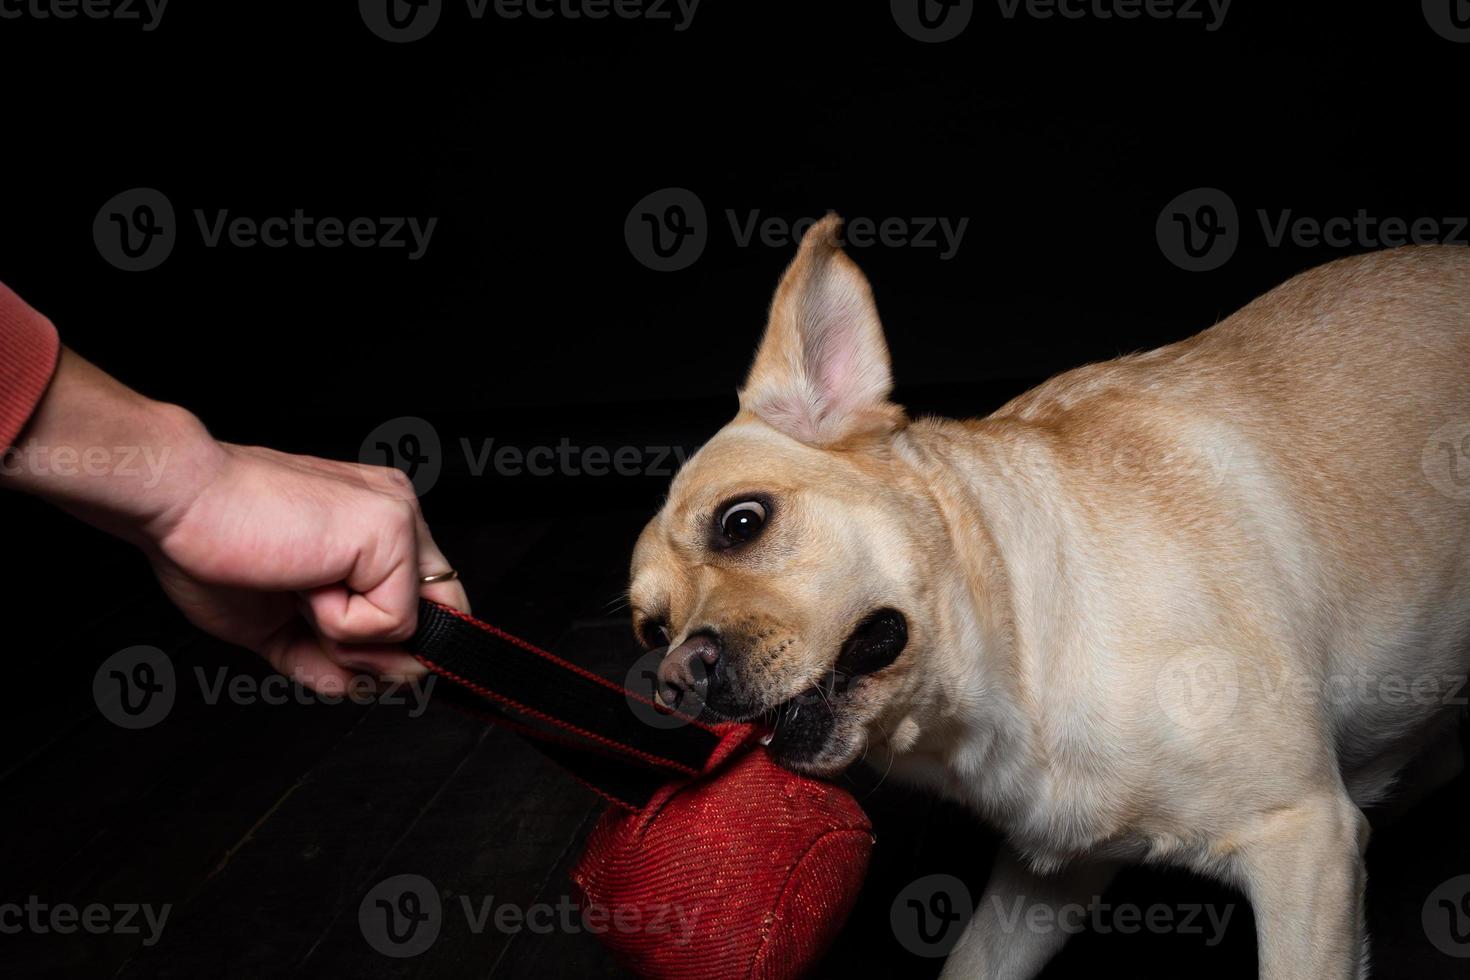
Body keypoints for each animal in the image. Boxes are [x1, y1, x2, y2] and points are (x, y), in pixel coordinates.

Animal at [626, 215, 1464, 980]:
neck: (1023, 657)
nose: (675, 679)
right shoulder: (1043, 886)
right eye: (649, 630)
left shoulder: (1305, 843)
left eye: (742, 521)